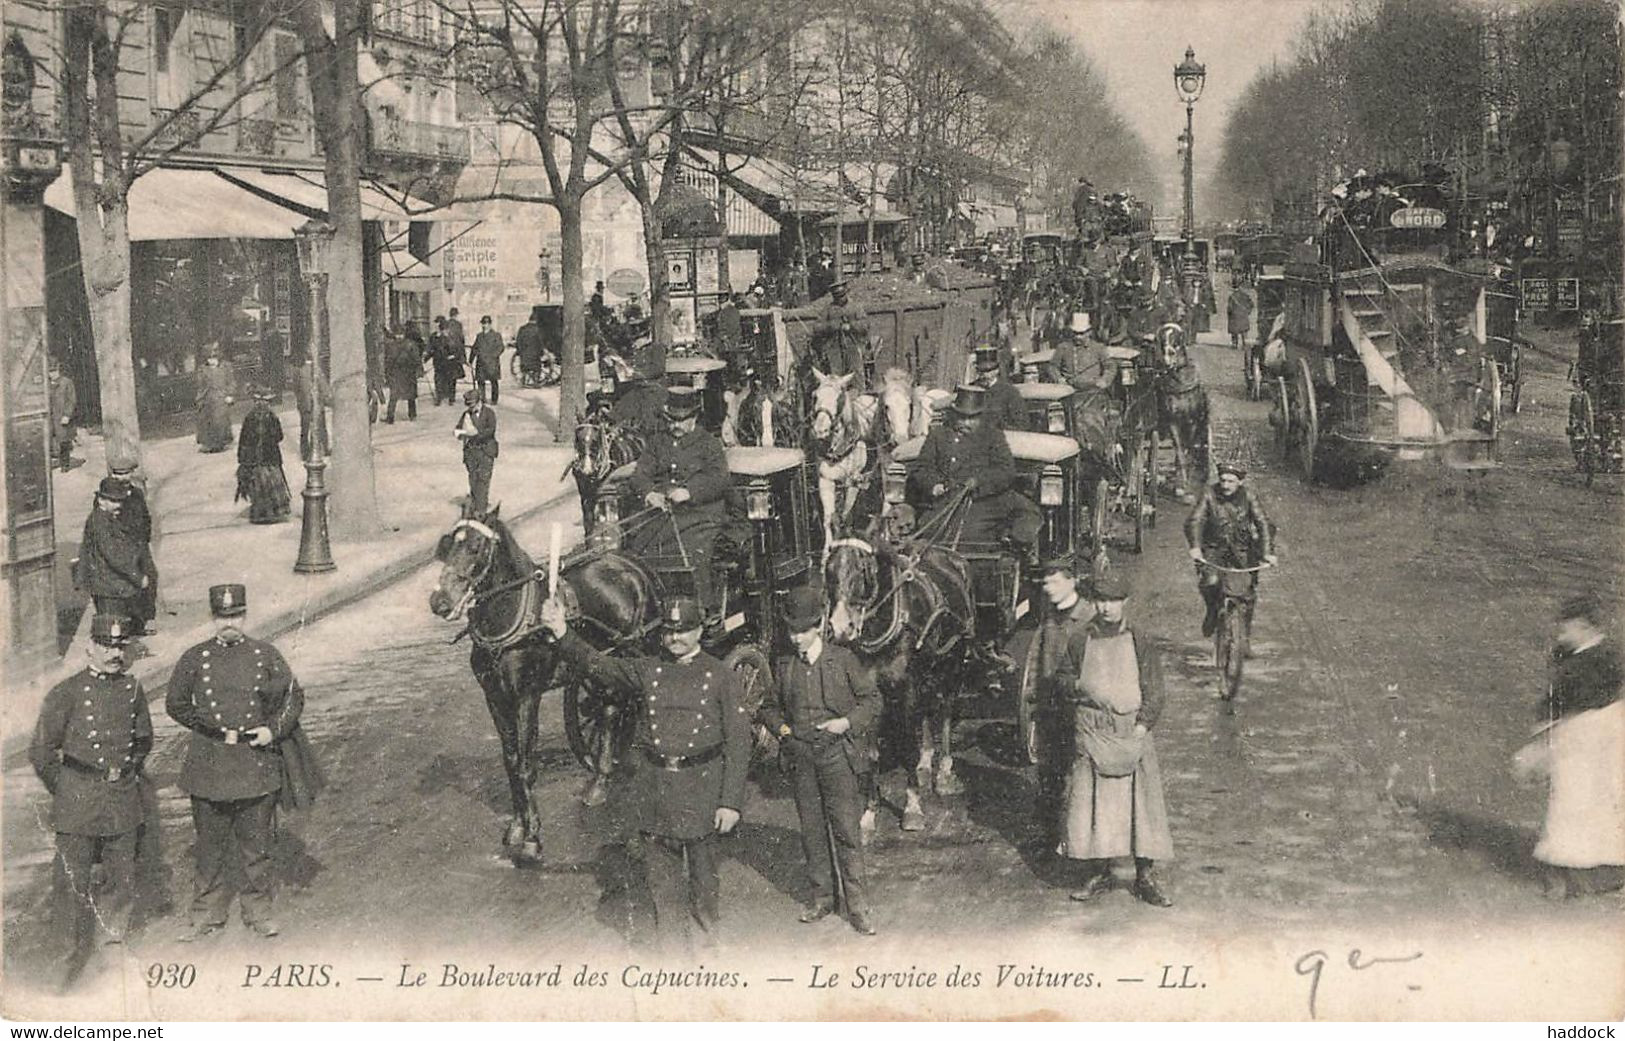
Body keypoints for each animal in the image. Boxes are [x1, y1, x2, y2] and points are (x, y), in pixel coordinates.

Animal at [432, 503, 666, 857]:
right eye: (448, 545)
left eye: (475, 547)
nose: (439, 601)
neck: (513, 617)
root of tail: (632, 564)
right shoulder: (495, 697)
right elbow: (511, 760)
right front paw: (517, 827)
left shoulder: (527, 695)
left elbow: (526, 763)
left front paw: (532, 838)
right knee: (611, 709)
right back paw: (600, 780)